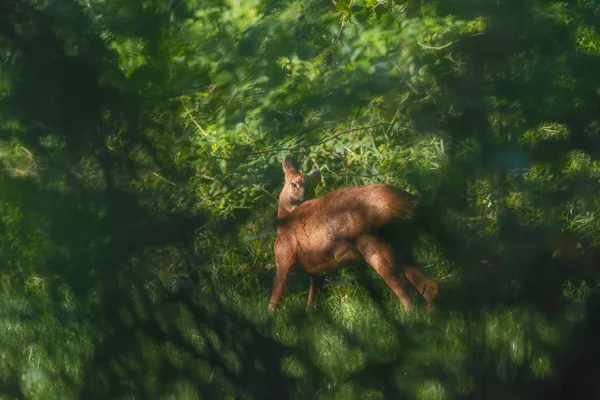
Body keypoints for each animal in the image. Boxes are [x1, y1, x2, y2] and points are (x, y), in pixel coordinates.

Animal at [270, 156, 438, 312]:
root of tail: (411, 201)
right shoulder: (317, 270)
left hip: (372, 242)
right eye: (293, 184)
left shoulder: (284, 259)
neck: (283, 226)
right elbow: (312, 301)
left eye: (312, 187)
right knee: (431, 288)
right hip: (400, 244)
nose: (300, 201)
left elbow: (273, 301)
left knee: (409, 296)